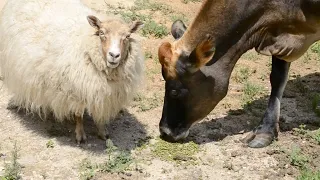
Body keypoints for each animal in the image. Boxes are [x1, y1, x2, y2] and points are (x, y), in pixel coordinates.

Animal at [0, 0, 144, 143]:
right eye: (102, 33)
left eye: (127, 36)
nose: (114, 55)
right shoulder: (75, 91)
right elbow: (78, 115)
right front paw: (80, 135)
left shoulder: (104, 94)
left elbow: (100, 114)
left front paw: (102, 132)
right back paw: (16, 102)